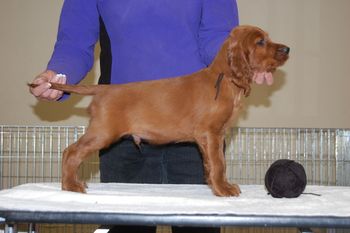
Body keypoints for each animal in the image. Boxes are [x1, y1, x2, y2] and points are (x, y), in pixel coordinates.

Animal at [30, 25, 288, 197]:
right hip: (103, 132)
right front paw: (223, 189)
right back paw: (70, 186)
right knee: (71, 151)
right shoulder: (210, 133)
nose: (287, 49)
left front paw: (218, 185)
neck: (224, 79)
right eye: (260, 42)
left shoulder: (217, 136)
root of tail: (104, 89)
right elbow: (218, 163)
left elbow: (216, 163)